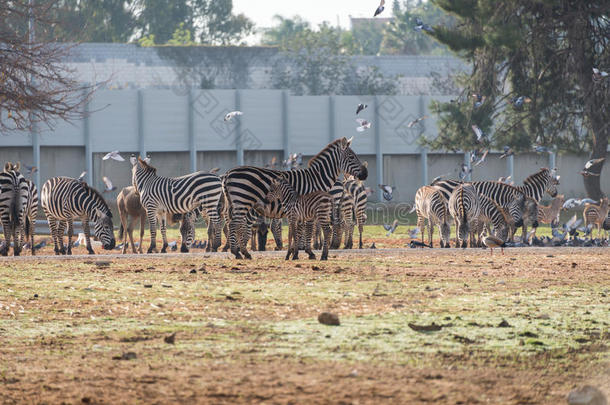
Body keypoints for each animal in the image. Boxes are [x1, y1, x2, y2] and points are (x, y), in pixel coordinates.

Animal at [223, 137, 366, 258]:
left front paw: (297, 251)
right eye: (351, 157)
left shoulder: (303, 209)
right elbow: (308, 228)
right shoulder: (308, 206)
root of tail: (228, 173)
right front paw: (308, 252)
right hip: (242, 201)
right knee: (235, 224)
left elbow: (301, 229)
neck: (316, 178)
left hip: (239, 203)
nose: (365, 174)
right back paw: (237, 252)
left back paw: (242, 252)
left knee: (236, 224)